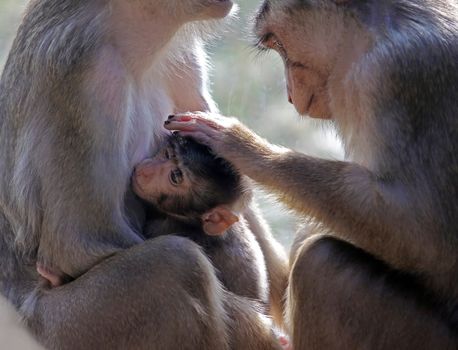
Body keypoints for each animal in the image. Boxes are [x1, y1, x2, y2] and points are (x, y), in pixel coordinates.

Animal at [166, 0, 458, 350]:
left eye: (279, 45)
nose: (289, 93)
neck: (374, 34)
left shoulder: (391, 76)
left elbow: (421, 232)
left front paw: (245, 147)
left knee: (320, 264)